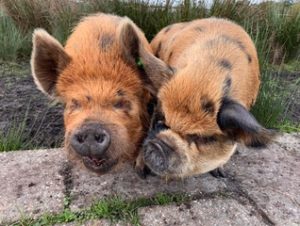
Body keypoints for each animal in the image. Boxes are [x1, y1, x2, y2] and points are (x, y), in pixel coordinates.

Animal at [135, 18, 276, 178]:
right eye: (160, 120)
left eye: (200, 137)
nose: (158, 145)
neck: (206, 76)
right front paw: (141, 172)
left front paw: (220, 174)